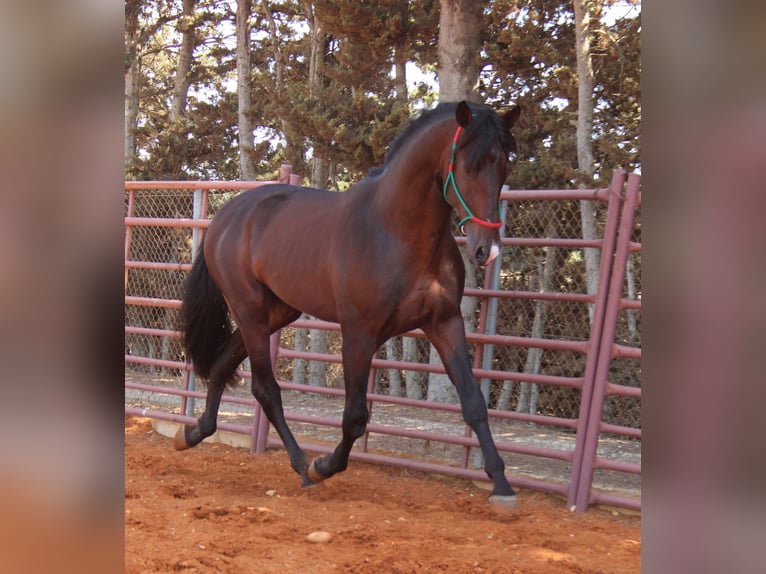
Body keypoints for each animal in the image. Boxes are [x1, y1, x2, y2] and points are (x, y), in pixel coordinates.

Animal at [176, 100, 520, 512]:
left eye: (505, 165)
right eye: (469, 165)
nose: (488, 249)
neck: (394, 232)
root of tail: (225, 218)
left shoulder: (445, 323)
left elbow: (473, 403)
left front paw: (502, 485)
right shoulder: (359, 333)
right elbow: (355, 416)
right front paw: (324, 466)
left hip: (274, 313)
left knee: (223, 363)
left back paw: (194, 433)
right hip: (250, 313)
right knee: (266, 389)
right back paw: (302, 466)